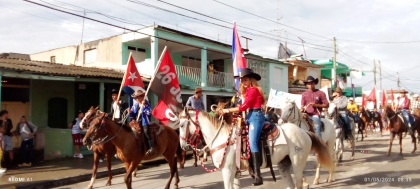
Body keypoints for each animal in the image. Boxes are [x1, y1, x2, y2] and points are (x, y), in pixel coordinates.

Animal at [179, 108, 334, 189]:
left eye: (181, 125)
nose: (183, 146)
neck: (223, 137)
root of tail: (305, 132)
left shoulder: (227, 171)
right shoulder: (235, 172)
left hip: (297, 164)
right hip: (284, 164)